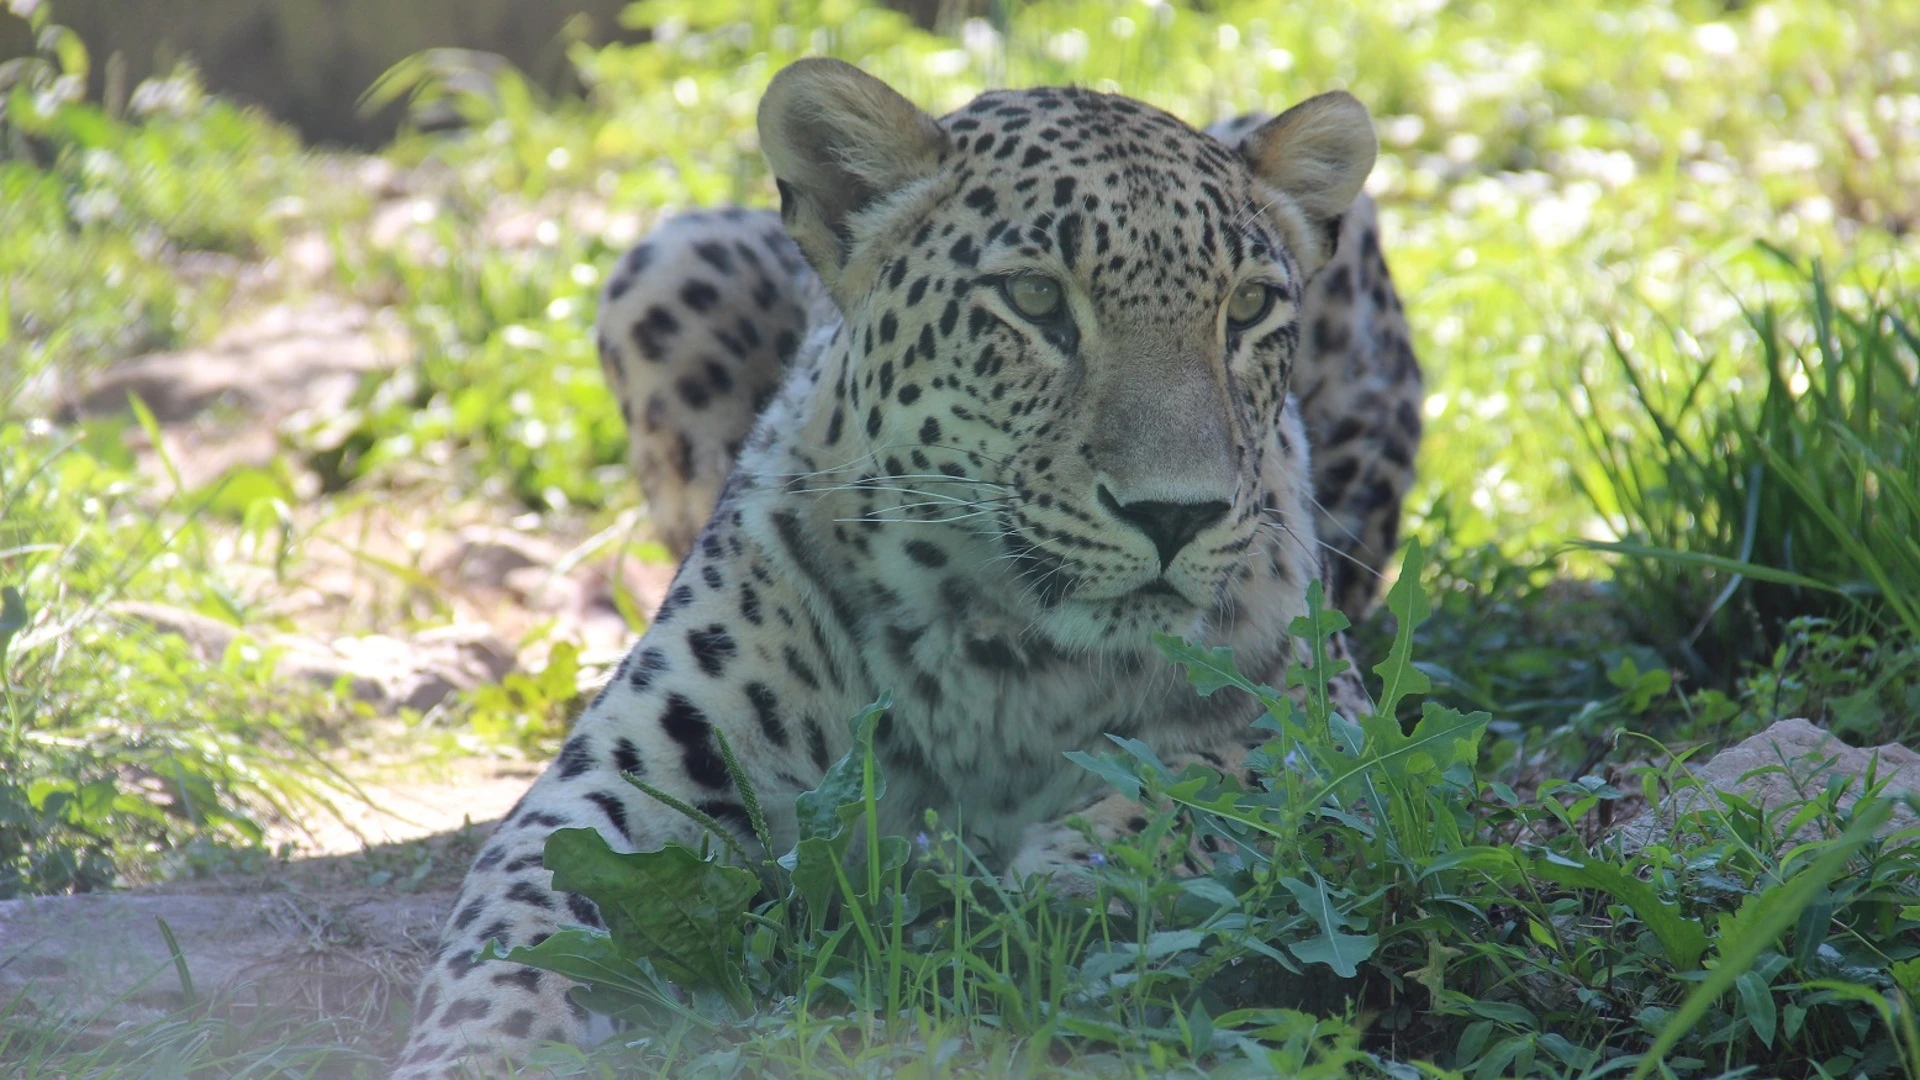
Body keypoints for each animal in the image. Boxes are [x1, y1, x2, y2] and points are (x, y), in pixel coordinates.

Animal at [397, 61, 1428, 1076]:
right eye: (1035, 299)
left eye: (1247, 307)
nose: (1176, 514)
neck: (1008, 654)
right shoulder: (630, 771)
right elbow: (520, 927)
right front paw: (476, 1052)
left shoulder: (1331, 721)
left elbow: (1208, 788)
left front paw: (1064, 894)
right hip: (666, 258)